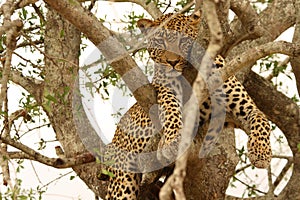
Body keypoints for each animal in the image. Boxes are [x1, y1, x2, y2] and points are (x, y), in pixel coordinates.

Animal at [102, 11, 274, 200]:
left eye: (183, 40)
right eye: (161, 42)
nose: (172, 62)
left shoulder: (243, 106)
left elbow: (261, 119)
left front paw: (261, 152)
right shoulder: (165, 89)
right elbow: (170, 109)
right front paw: (171, 141)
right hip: (123, 180)